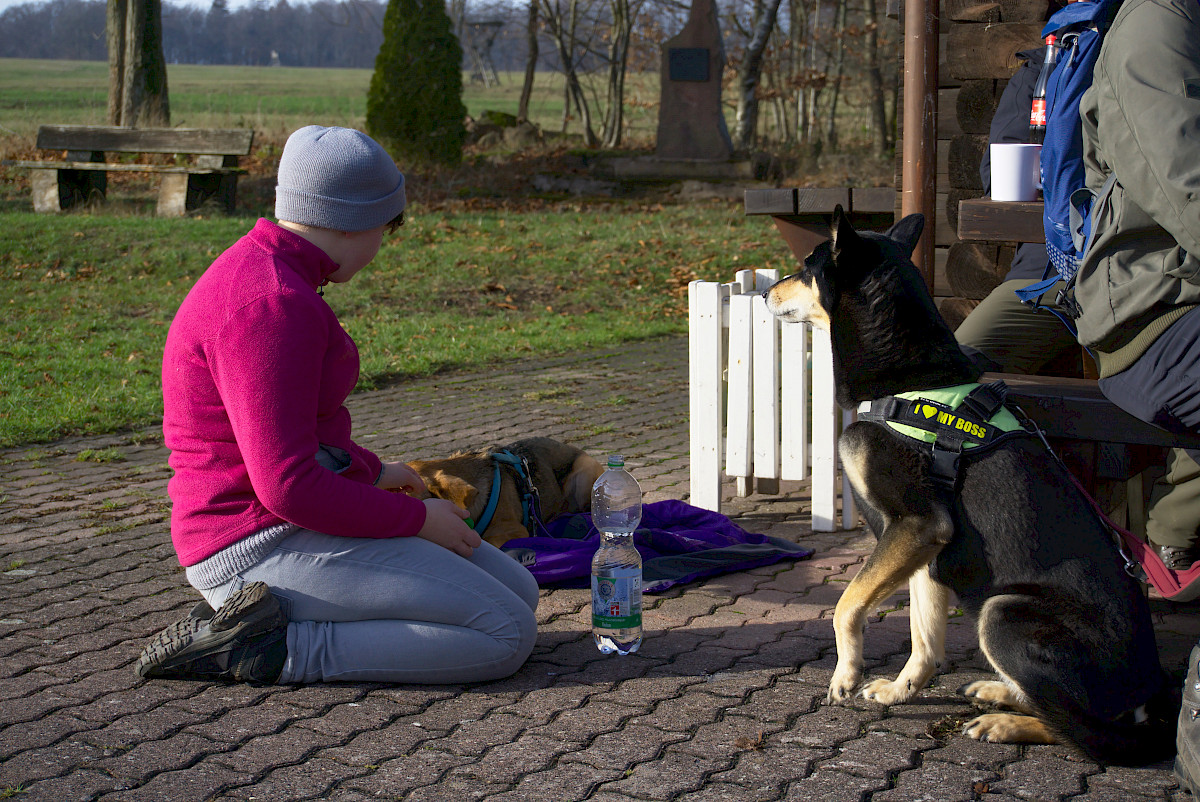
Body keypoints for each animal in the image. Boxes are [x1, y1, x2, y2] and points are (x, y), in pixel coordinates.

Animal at [763, 206, 1176, 763]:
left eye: (807, 267)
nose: (766, 292)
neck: (911, 378)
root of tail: (1150, 699)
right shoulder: (927, 550)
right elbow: (923, 636)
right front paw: (901, 689)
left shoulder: (917, 525)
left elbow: (847, 604)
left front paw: (845, 673)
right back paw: (999, 692)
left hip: (1001, 614)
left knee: (1082, 733)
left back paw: (1006, 722)